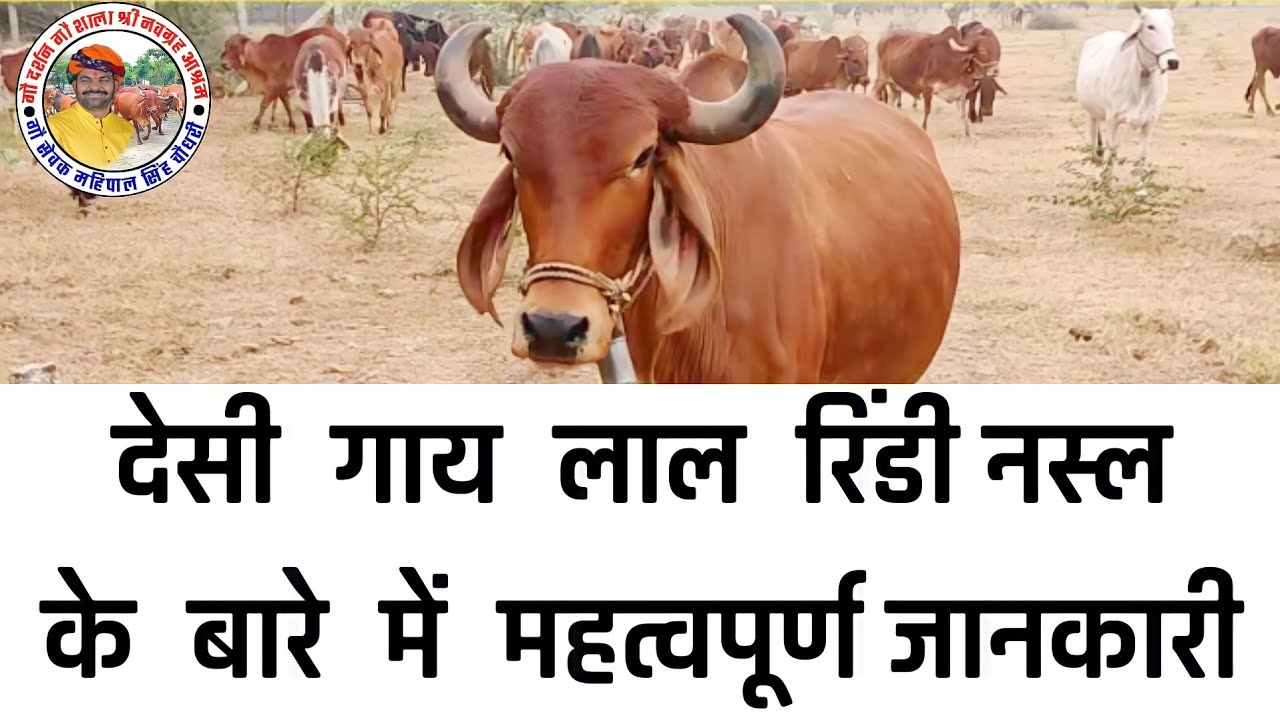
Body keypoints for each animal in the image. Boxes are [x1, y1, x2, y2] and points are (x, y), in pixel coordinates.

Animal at [220, 25, 348, 132]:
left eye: (236, 47)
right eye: (226, 46)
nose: (224, 64)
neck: (262, 56)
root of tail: (340, 35)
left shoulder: (274, 87)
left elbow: (264, 104)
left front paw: (255, 125)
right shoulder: (281, 88)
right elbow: (287, 106)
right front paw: (292, 126)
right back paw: (340, 120)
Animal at [1076, 5, 1180, 161]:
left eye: (1171, 26)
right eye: (1150, 26)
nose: (1173, 62)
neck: (1141, 82)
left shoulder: (1150, 122)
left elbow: (1141, 156)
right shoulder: (1112, 121)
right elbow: (1111, 156)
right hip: (1090, 114)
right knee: (1094, 151)